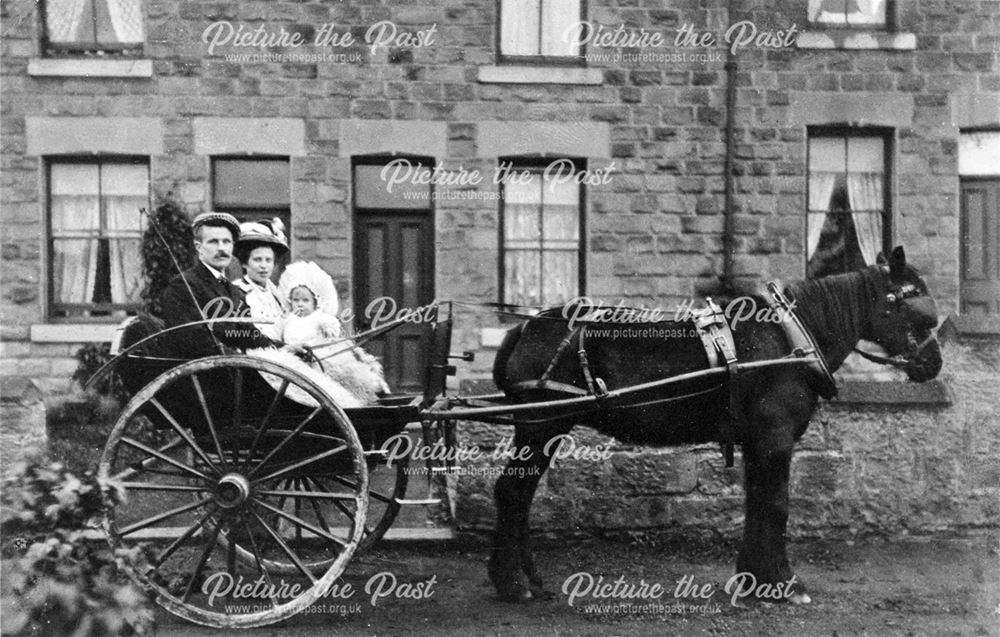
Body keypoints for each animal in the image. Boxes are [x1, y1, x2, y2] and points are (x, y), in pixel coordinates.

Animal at [488, 246, 940, 604]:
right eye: (919, 309)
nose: (934, 363)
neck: (789, 339)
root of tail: (525, 327)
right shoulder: (775, 439)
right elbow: (776, 505)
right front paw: (785, 584)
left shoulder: (759, 442)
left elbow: (757, 503)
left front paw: (755, 579)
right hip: (541, 427)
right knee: (512, 492)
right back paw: (512, 583)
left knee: (520, 496)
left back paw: (527, 578)